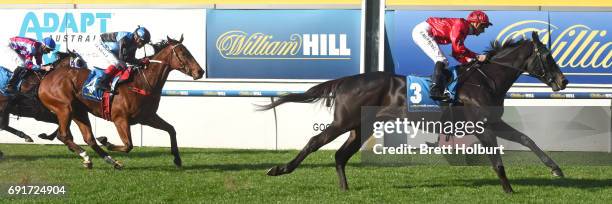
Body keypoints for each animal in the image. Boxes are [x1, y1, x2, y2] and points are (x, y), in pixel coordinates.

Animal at [38, 36, 206, 169]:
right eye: (183, 53)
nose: (200, 71)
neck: (142, 83)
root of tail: (47, 77)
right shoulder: (120, 119)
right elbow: (128, 145)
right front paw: (106, 141)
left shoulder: (147, 117)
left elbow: (171, 130)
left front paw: (177, 159)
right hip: (64, 108)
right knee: (64, 136)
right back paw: (89, 156)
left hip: (79, 111)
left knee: (89, 139)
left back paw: (109, 161)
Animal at [258, 31, 568, 193]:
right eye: (547, 56)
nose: (563, 81)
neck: (485, 79)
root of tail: (347, 80)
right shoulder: (482, 126)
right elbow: (497, 158)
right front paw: (508, 189)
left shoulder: (495, 122)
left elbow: (527, 139)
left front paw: (556, 169)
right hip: (344, 121)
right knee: (315, 142)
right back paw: (280, 169)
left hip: (362, 127)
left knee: (340, 155)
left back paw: (345, 189)